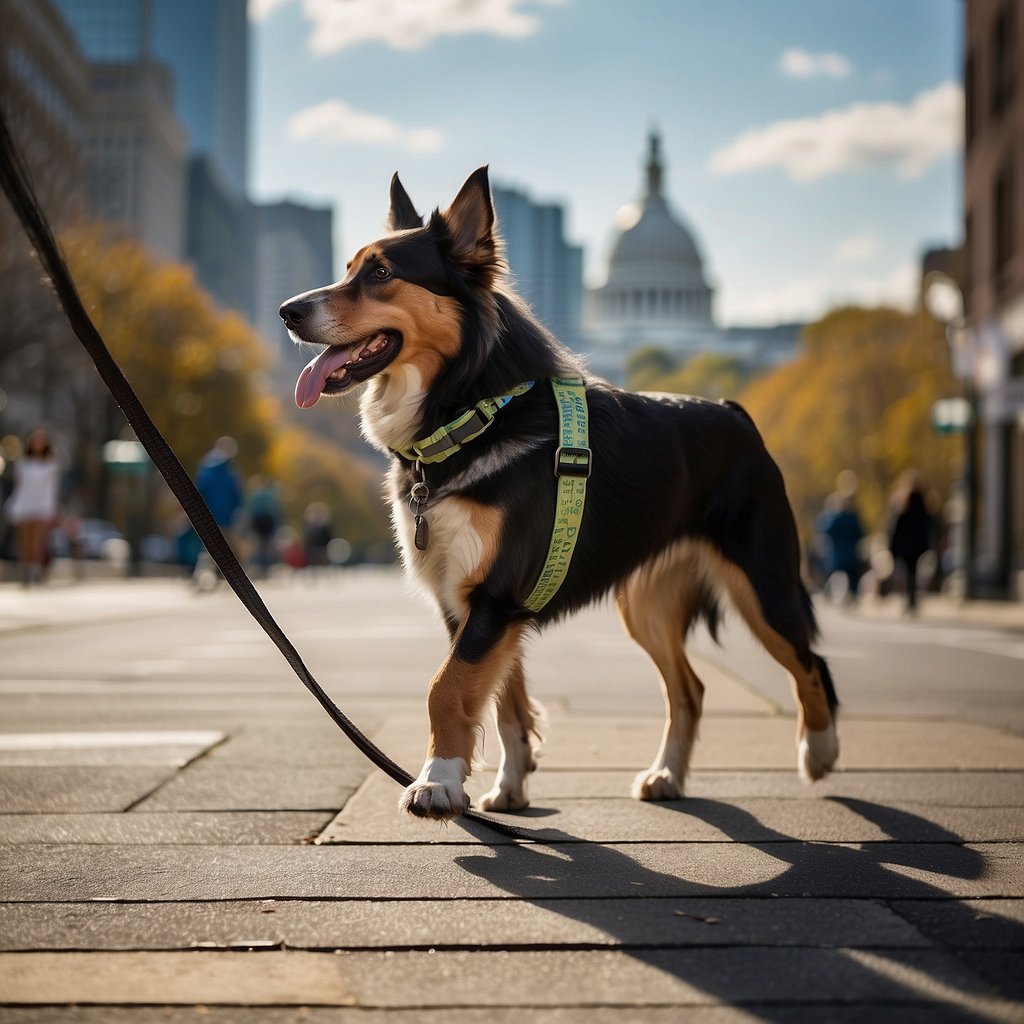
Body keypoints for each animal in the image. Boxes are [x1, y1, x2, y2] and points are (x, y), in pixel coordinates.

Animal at [276, 169, 835, 823]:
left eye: (382, 273)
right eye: (347, 268)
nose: (287, 311)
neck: (473, 413)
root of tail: (734, 410)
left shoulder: (494, 596)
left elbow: (446, 689)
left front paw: (436, 785)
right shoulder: (474, 605)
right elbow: (500, 701)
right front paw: (509, 787)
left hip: (764, 583)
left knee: (810, 663)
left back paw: (819, 751)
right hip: (647, 603)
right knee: (689, 689)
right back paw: (667, 775)